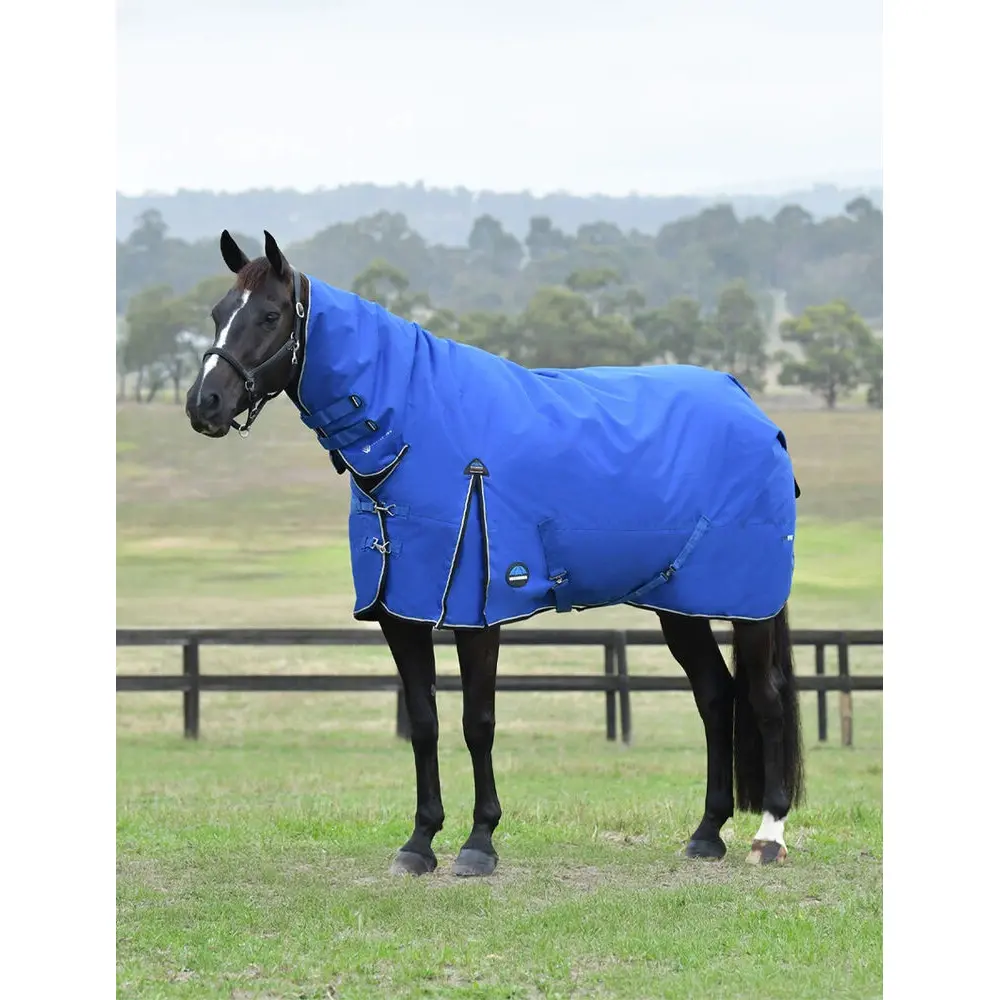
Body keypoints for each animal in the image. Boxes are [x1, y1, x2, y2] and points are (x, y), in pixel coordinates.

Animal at [185, 230, 805, 877]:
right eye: (219, 313)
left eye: (270, 315)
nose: (204, 403)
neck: (414, 433)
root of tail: (754, 412)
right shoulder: (400, 613)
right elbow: (425, 723)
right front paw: (419, 842)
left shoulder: (476, 612)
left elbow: (476, 722)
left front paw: (479, 842)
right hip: (679, 604)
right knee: (715, 696)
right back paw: (706, 834)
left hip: (747, 605)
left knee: (765, 698)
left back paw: (769, 836)